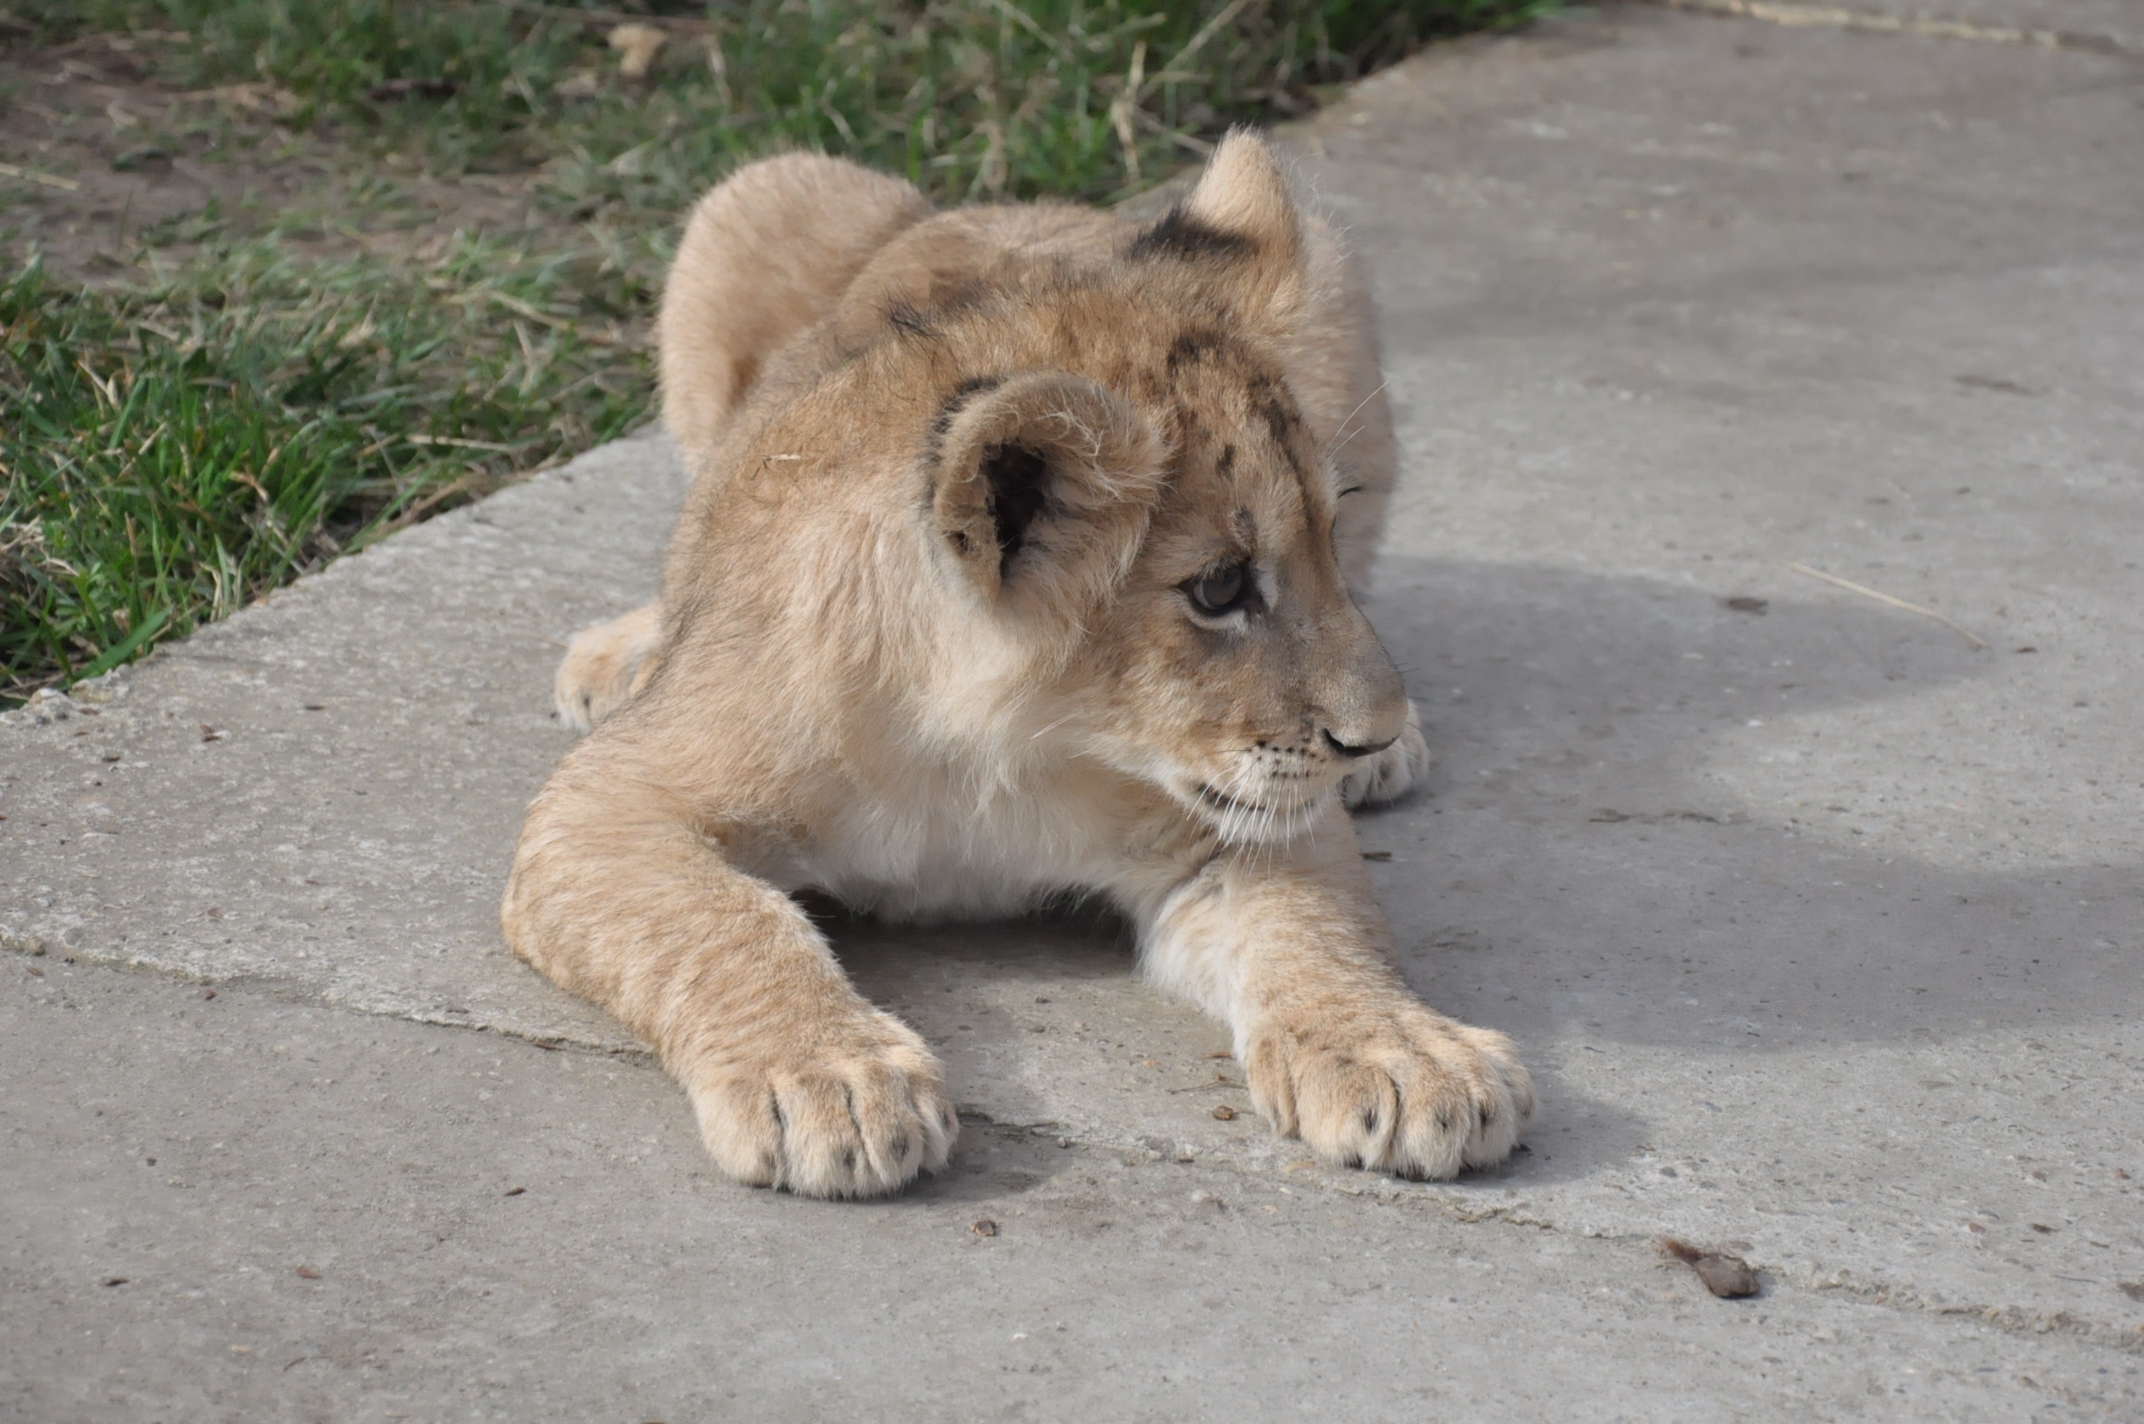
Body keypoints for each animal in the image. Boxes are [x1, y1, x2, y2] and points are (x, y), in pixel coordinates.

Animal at [502, 132, 1533, 1198]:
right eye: (1219, 588)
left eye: (1325, 533)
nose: (1369, 727)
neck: (1000, 752)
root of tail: (1026, 203)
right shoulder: (608, 803)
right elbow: (721, 922)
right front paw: (828, 1078)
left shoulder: (1244, 828)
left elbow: (1319, 931)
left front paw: (1403, 1056)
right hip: (754, 199)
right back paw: (626, 652)